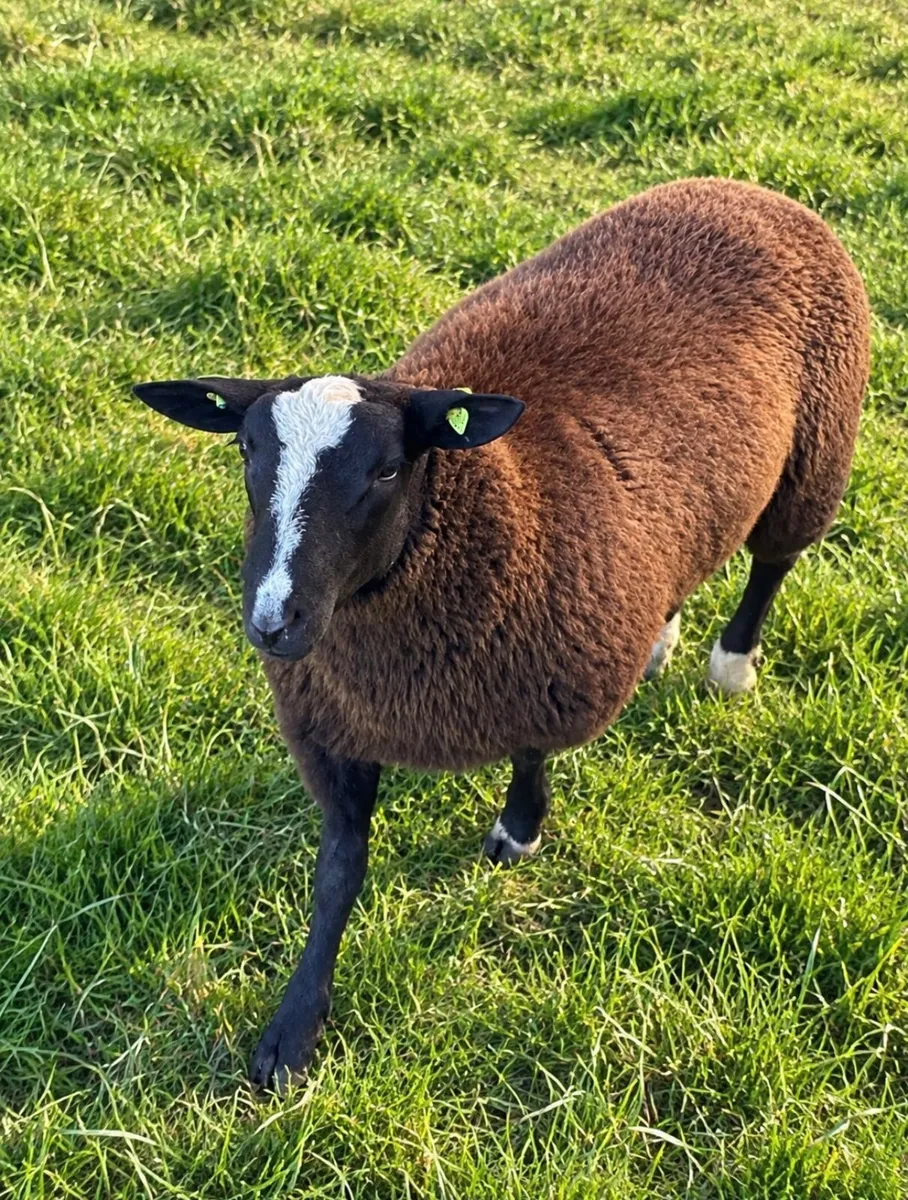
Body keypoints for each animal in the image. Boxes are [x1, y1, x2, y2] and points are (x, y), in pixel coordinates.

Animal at [133, 177, 870, 1092]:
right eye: (245, 453)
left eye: (387, 469)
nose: (274, 622)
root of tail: (747, 188)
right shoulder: (332, 730)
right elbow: (337, 876)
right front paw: (293, 1031)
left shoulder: (545, 664)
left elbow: (528, 753)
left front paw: (517, 831)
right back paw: (661, 639)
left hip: (817, 451)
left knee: (773, 561)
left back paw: (730, 664)